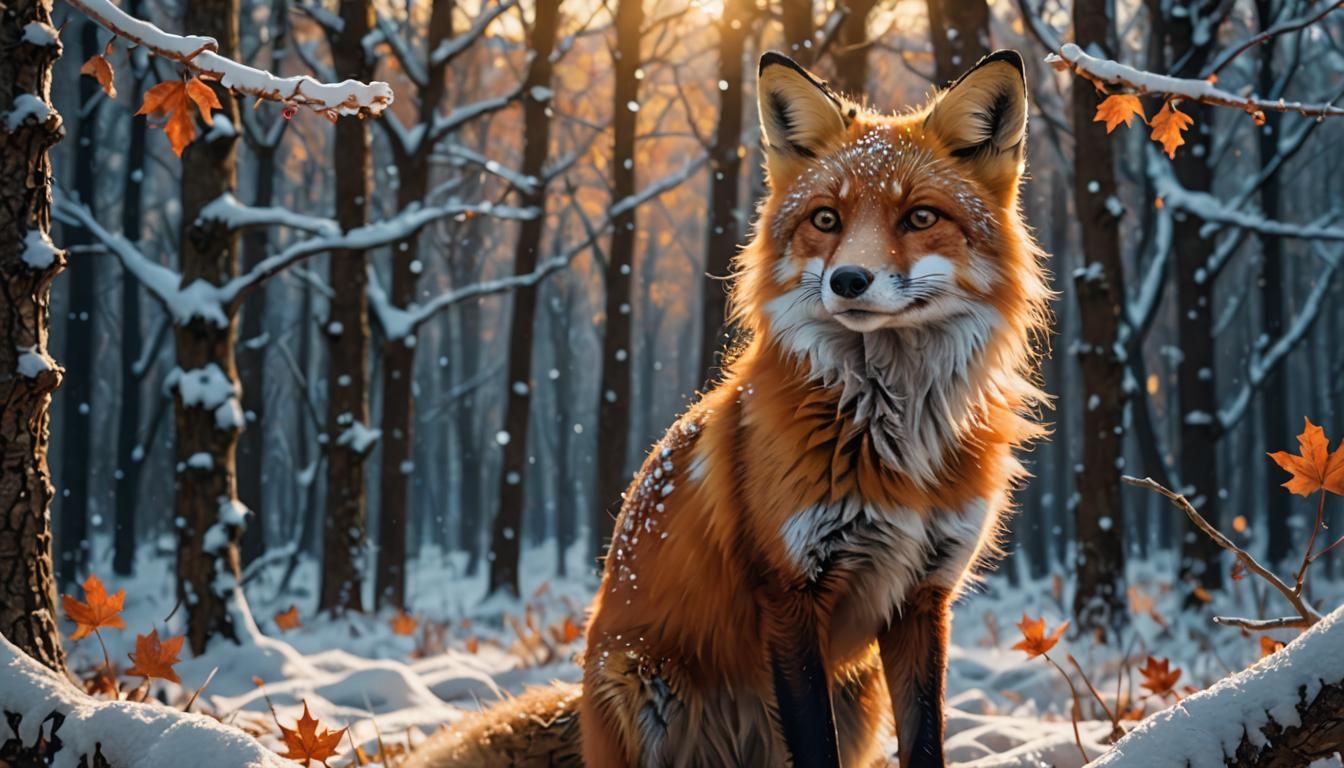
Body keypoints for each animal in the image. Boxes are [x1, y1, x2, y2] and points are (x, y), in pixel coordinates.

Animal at [407, 48, 1048, 768]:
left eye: (919, 217)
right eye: (826, 219)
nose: (848, 281)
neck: (893, 437)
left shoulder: (922, 597)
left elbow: (927, 743)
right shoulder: (790, 593)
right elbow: (815, 748)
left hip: (859, 697)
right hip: (646, 685)